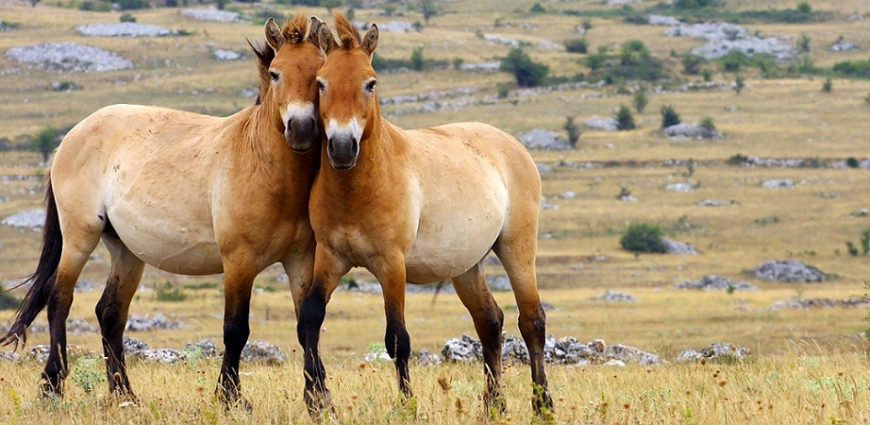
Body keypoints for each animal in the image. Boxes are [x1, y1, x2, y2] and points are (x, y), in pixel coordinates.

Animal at [0, 14, 328, 408]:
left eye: (320, 74)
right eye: (276, 74)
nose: (302, 129)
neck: (262, 165)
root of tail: (71, 136)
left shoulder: (300, 261)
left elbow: (307, 325)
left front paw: (318, 397)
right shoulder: (239, 262)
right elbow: (236, 329)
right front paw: (230, 397)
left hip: (125, 250)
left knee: (110, 313)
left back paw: (124, 392)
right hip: (80, 237)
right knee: (58, 300)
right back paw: (52, 385)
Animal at [296, 13, 556, 414]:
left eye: (370, 83)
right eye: (321, 83)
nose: (341, 147)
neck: (359, 190)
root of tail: (512, 144)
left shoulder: (392, 266)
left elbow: (397, 339)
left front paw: (407, 405)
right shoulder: (331, 257)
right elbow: (310, 318)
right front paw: (316, 402)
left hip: (517, 248)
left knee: (531, 321)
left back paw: (542, 404)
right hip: (467, 266)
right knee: (489, 321)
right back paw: (493, 405)